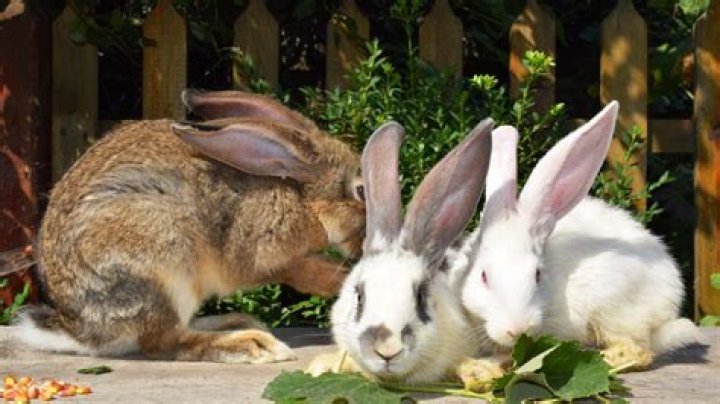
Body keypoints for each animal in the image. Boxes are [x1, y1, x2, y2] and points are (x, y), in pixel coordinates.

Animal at [13, 89, 366, 363]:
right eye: (361, 191)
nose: (365, 242)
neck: (300, 194)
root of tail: (82, 330)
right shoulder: (266, 254)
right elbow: (305, 270)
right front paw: (343, 279)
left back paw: (238, 321)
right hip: (162, 261)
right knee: (163, 343)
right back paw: (252, 344)